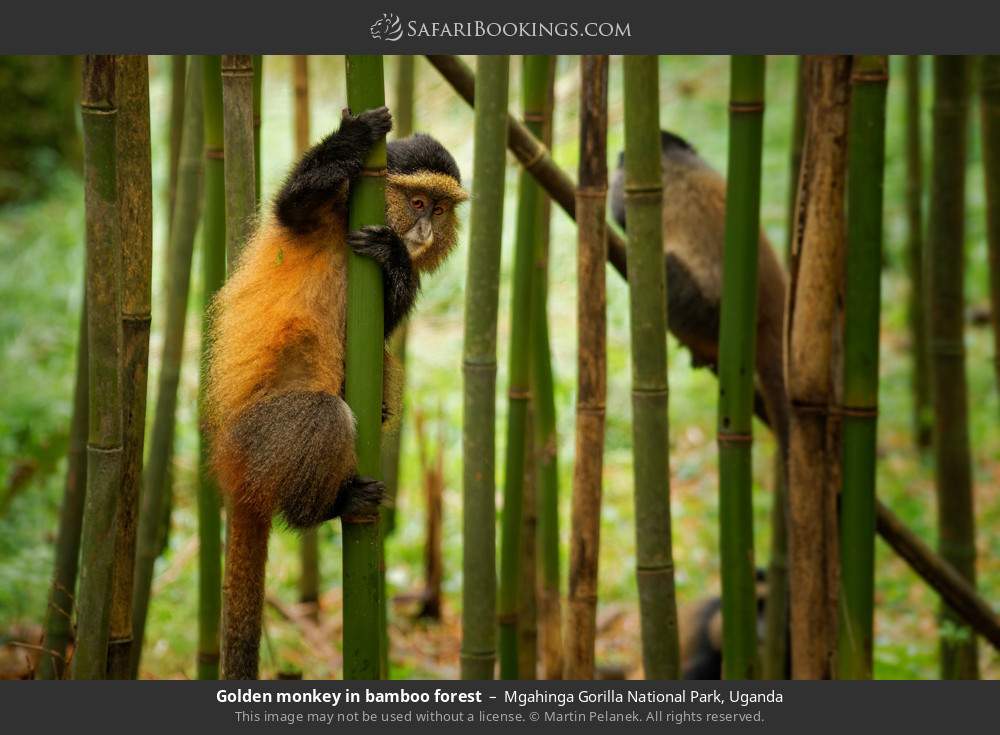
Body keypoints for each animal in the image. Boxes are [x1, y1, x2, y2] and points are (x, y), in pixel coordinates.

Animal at [205, 106, 468, 680]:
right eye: (418, 202)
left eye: (440, 208)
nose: (424, 229)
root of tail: (234, 471)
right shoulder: (317, 211)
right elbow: (294, 201)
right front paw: (355, 135)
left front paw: (395, 258)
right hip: (263, 438)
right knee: (324, 416)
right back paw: (330, 507)